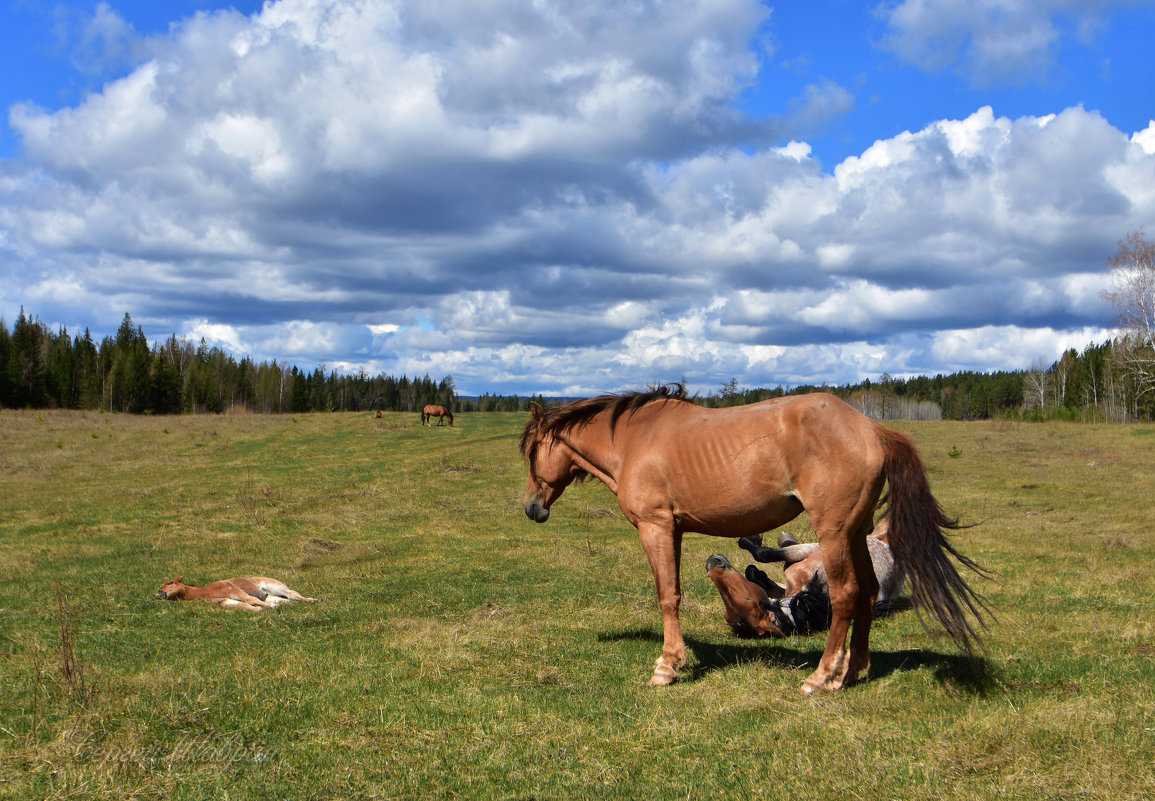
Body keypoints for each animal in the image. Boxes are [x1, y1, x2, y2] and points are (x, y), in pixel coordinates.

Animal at [702, 521, 910, 641]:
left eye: (750, 601)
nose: (713, 561)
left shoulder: (806, 551)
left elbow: (762, 554)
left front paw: (753, 539)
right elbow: (755, 571)